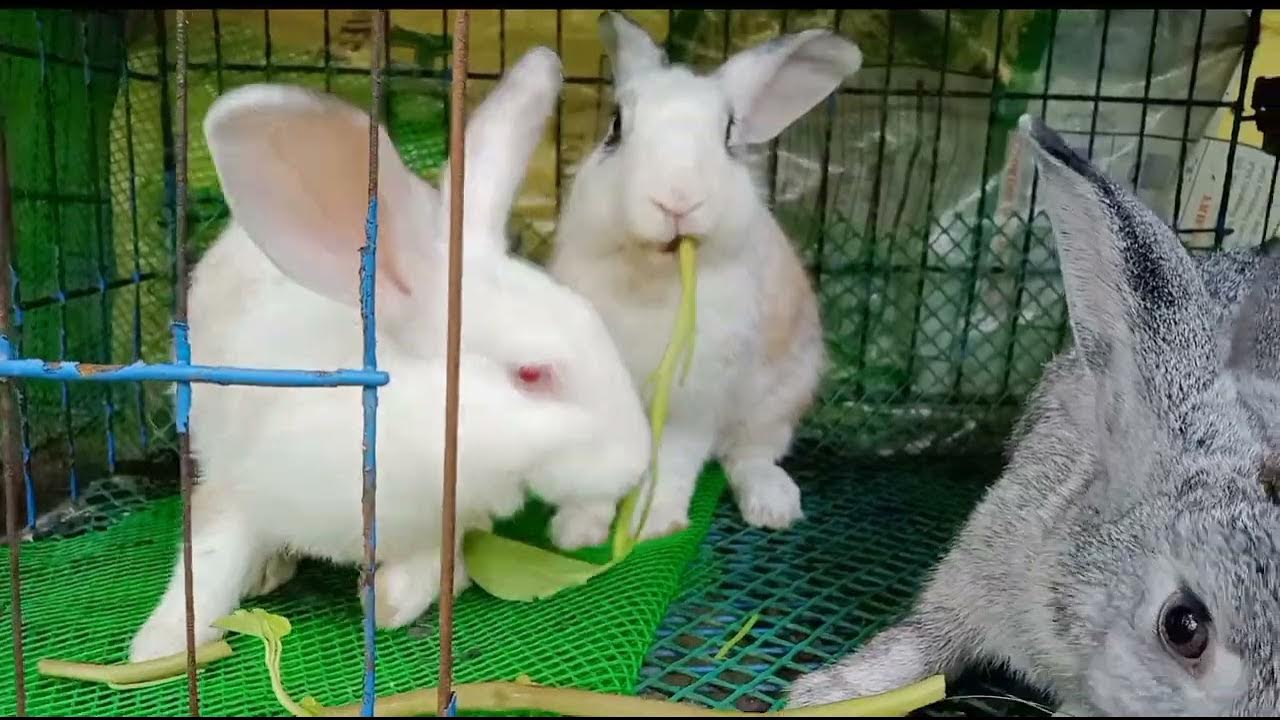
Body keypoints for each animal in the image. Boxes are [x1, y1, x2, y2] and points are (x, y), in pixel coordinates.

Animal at [127, 47, 652, 663]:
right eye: (531, 374)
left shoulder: (441, 522)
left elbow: (428, 564)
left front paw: (395, 603)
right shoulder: (238, 485)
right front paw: (158, 648)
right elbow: (209, 561)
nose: (637, 461)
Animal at [546, 11, 861, 544]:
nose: (677, 199)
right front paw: (576, 531)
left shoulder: (693, 404)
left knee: (749, 456)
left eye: (728, 134)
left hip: (780, 400)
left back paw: (774, 505)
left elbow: (674, 465)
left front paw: (653, 525)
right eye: (616, 127)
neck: (653, 276)